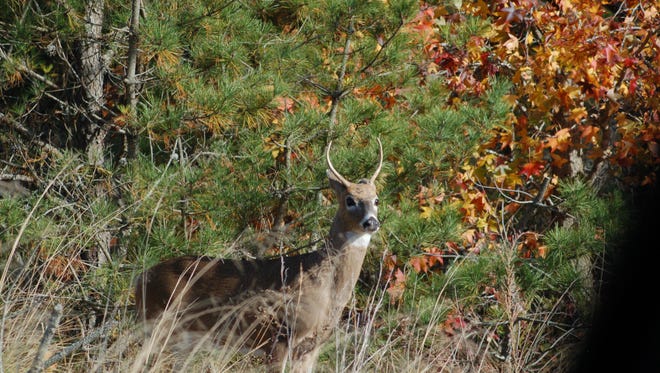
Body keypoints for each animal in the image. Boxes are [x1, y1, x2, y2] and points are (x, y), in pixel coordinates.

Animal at [133, 138, 382, 370]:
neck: (327, 287)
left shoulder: (311, 348)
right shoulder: (278, 338)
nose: (371, 222)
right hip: (157, 323)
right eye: (350, 200)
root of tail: (140, 277)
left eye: (376, 200)